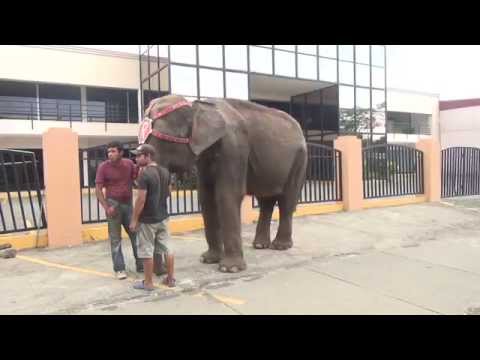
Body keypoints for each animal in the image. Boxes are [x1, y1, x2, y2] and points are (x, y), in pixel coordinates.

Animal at [142, 95, 308, 272]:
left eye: (168, 138)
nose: (163, 271)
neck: (197, 106)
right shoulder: (204, 158)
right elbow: (206, 196)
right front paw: (208, 260)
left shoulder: (234, 145)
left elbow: (227, 195)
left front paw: (230, 269)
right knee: (266, 201)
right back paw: (260, 245)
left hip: (299, 160)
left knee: (286, 201)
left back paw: (280, 246)